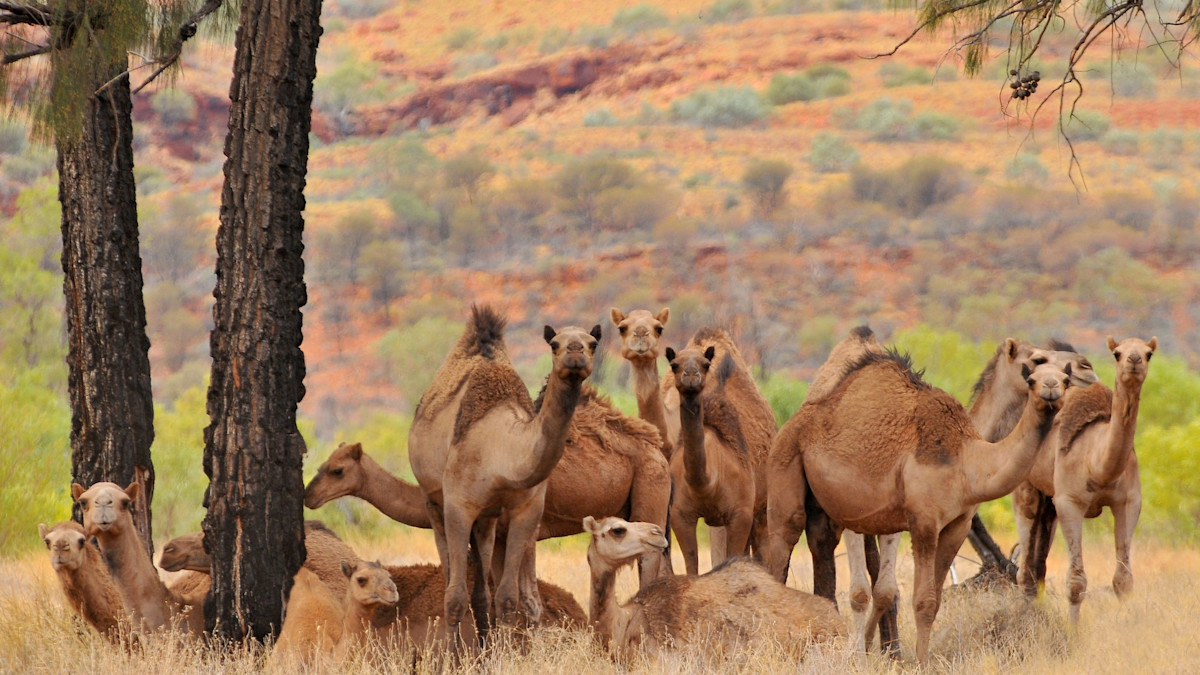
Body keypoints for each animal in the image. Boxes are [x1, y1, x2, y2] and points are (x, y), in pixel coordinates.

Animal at [408, 305, 599, 636]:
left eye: (593, 343)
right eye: (554, 344)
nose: (575, 354)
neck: (503, 454)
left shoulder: (526, 510)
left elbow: (508, 597)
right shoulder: (458, 505)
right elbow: (454, 597)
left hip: (487, 519)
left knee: (483, 589)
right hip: (432, 501)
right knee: (450, 578)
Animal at [663, 345, 757, 575]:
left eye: (705, 364)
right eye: (674, 365)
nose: (691, 376)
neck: (706, 482)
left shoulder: (741, 513)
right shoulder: (680, 515)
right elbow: (691, 564)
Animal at [764, 350, 1072, 665]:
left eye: (1065, 380)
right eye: (1031, 379)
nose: (1050, 389)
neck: (968, 460)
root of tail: (794, 421)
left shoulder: (958, 525)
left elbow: (933, 601)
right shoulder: (924, 521)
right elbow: (923, 600)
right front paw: (920, 663)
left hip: (826, 507)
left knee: (822, 542)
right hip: (785, 463)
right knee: (782, 541)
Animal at [1015, 336, 1156, 624]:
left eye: (1149, 353)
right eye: (1116, 353)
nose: (1134, 360)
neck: (1098, 464)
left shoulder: (1129, 502)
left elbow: (1123, 579)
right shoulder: (1070, 502)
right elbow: (1076, 581)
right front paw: (1073, 630)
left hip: (1049, 503)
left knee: (1037, 565)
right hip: (1026, 490)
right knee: (1023, 568)